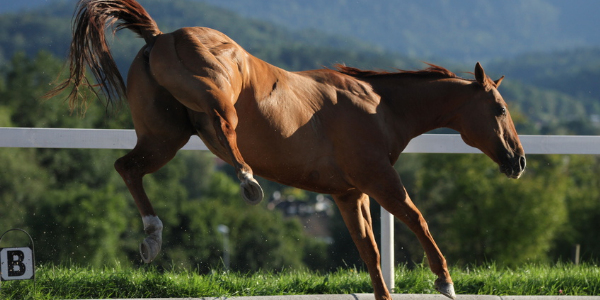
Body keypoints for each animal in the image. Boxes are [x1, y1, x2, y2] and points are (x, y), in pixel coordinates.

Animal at [47, 1, 524, 298]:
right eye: (499, 108)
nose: (518, 161)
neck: (379, 107)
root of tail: (160, 36)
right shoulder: (379, 180)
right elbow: (417, 218)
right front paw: (445, 281)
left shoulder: (349, 195)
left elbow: (371, 255)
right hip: (212, 101)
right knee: (223, 127)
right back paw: (247, 181)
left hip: (165, 138)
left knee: (127, 167)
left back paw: (152, 236)